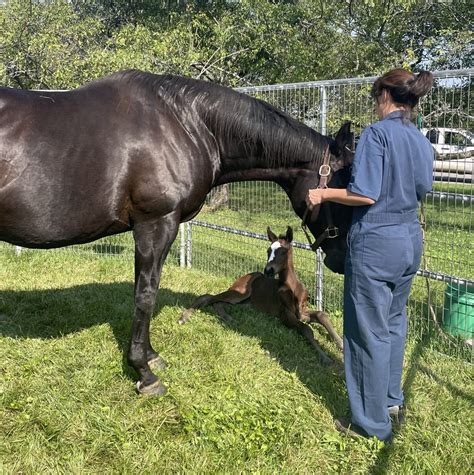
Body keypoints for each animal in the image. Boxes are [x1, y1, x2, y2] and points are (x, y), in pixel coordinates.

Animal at [180, 227, 342, 364]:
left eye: (283, 251)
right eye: (268, 250)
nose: (268, 270)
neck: (292, 288)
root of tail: (245, 276)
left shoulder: (302, 311)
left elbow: (321, 315)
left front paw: (340, 343)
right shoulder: (285, 314)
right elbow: (306, 329)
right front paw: (325, 357)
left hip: (245, 302)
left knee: (219, 303)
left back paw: (230, 319)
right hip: (240, 293)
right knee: (207, 297)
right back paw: (184, 317)